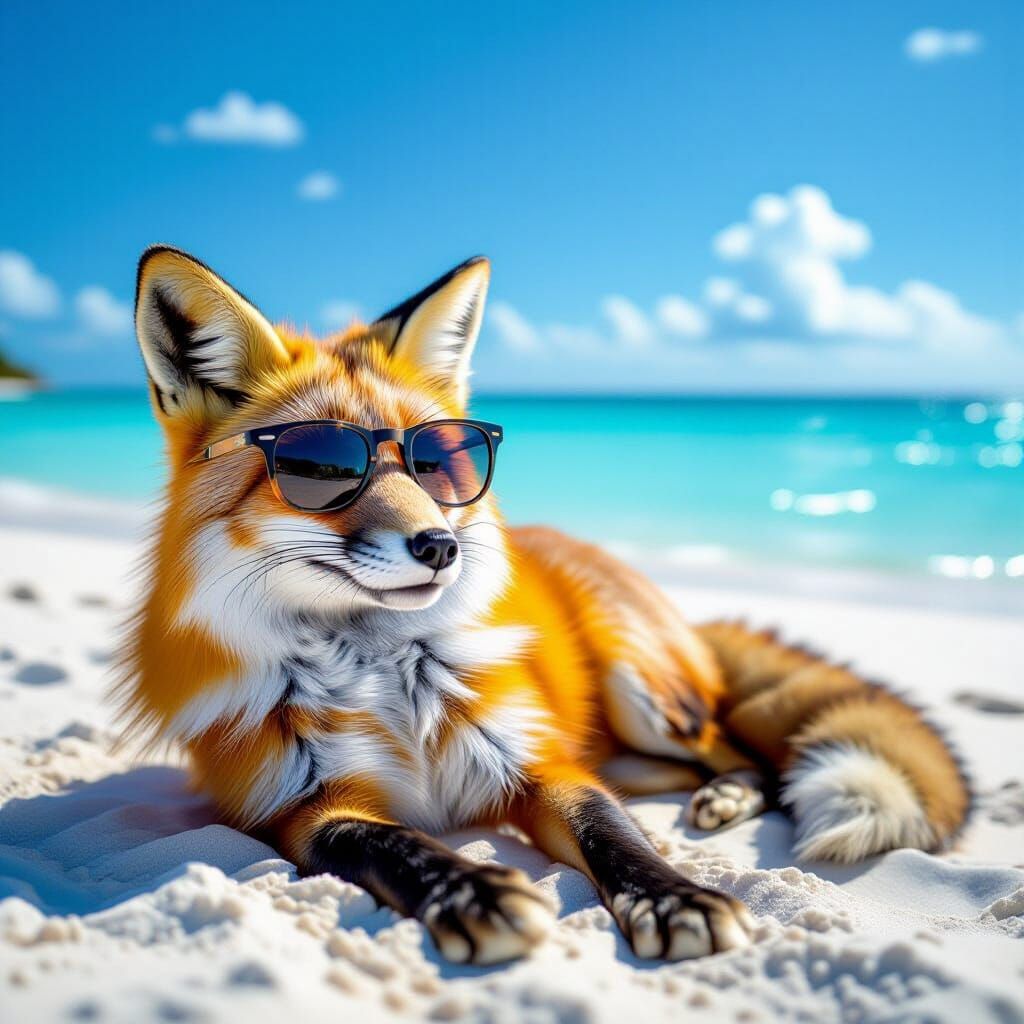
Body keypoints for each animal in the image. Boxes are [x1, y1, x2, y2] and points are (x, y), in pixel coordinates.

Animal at [117, 246, 970, 965]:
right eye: (320, 469)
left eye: (439, 462)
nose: (440, 546)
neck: (385, 677)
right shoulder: (298, 809)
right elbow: (386, 843)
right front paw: (470, 890)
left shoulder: (537, 760)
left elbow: (613, 834)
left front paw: (675, 896)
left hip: (645, 695)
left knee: (744, 751)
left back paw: (727, 793)